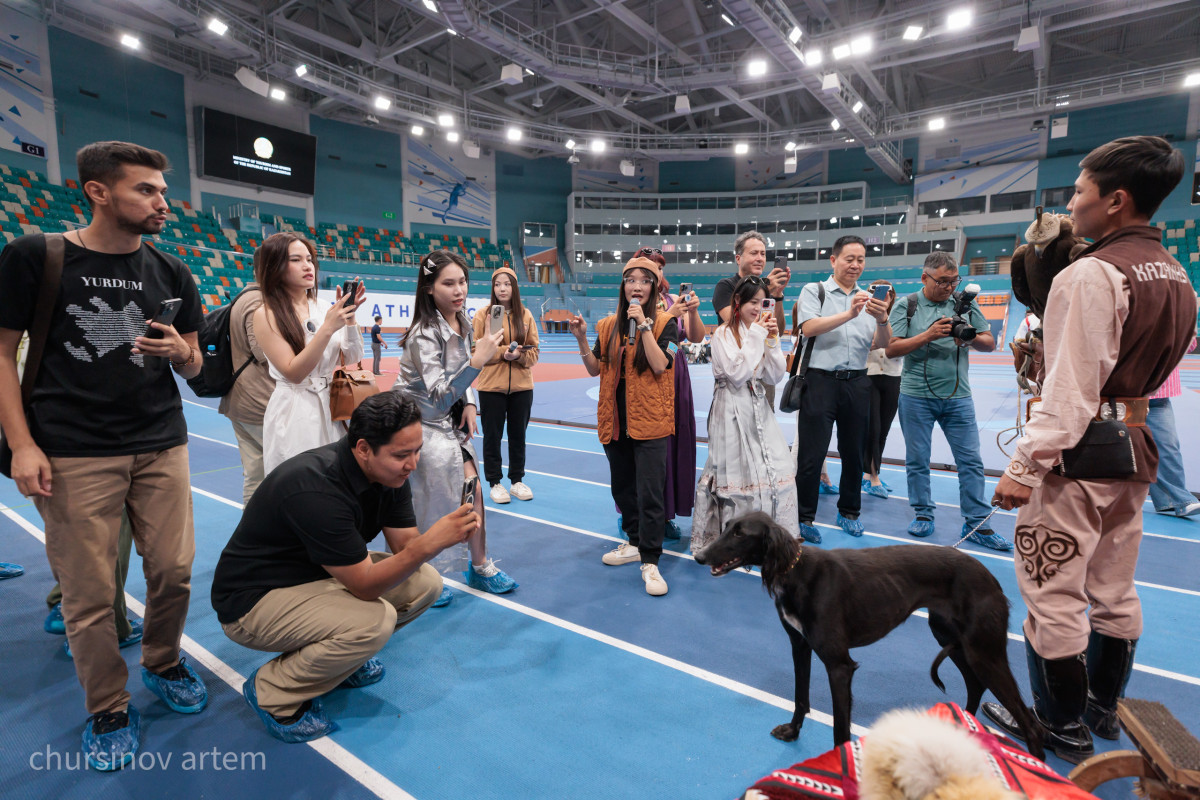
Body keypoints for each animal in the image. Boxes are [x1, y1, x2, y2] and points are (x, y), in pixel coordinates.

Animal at [691, 510, 1046, 762]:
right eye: (727, 526)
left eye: (741, 534)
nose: (699, 557)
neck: (796, 572)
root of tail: (991, 578)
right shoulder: (800, 646)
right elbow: (800, 695)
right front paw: (792, 731)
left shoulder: (839, 665)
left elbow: (839, 724)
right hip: (953, 638)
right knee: (975, 685)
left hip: (984, 652)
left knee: (1028, 720)